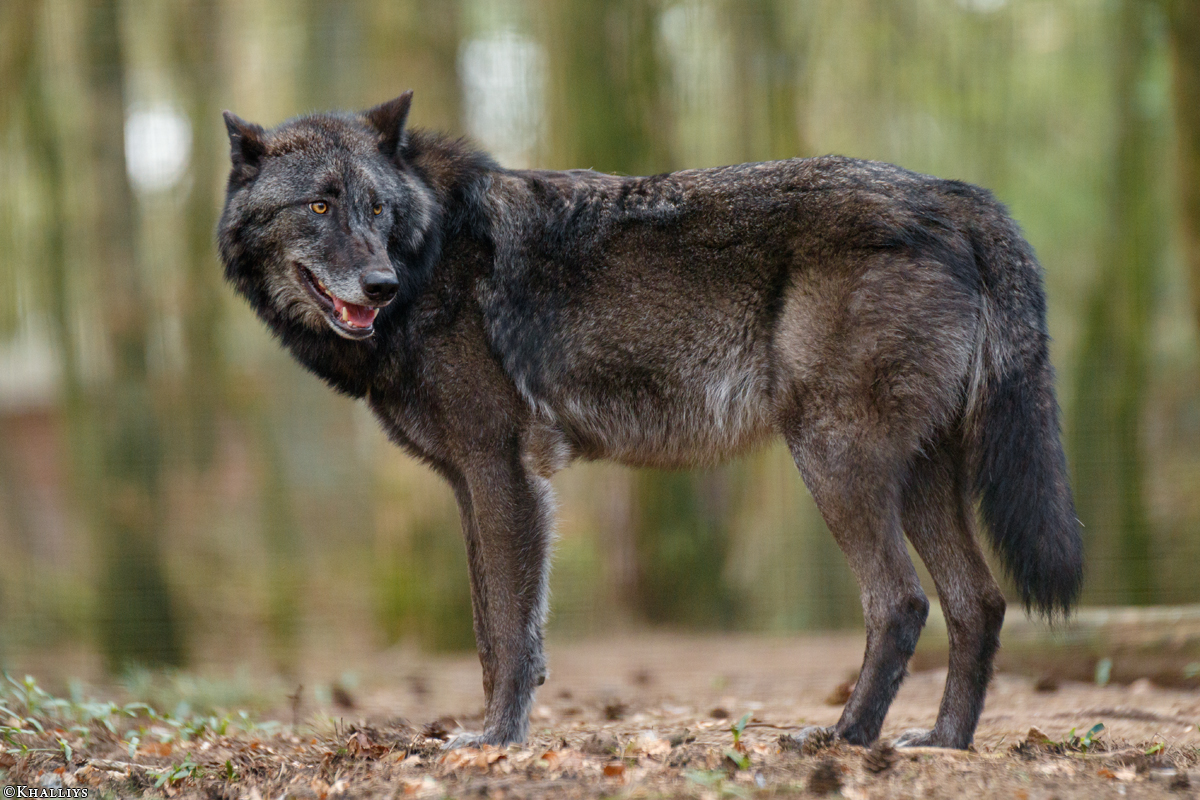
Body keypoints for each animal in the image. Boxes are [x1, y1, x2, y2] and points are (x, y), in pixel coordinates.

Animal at [218, 91, 1083, 750]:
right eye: (320, 204)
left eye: (376, 207)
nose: (378, 284)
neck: (431, 254)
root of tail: (946, 191)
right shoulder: (471, 483)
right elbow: (492, 629)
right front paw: (493, 731)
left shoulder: (505, 473)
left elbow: (510, 631)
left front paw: (495, 740)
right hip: (918, 475)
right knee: (979, 602)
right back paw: (943, 742)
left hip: (835, 459)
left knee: (902, 602)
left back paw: (844, 737)